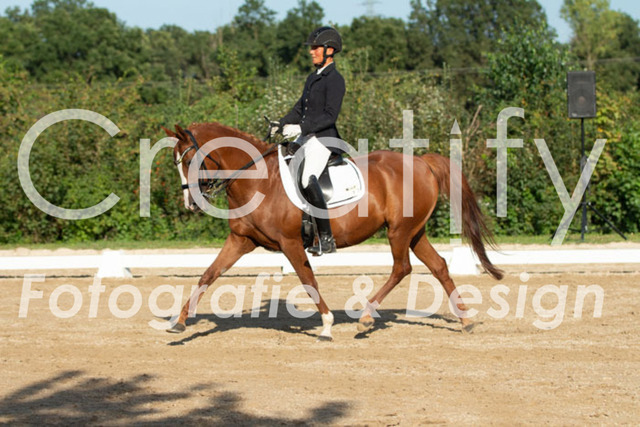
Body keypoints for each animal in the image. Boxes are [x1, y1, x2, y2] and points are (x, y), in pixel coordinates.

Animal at [162, 121, 503, 340]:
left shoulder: (290, 243)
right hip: (414, 232)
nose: (190, 203)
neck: (258, 181)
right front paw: (178, 323)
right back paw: (465, 320)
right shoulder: (241, 240)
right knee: (438, 266)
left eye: (189, 159)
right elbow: (208, 274)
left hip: (399, 232)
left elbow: (308, 280)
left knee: (402, 268)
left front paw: (326, 326)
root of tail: (422, 162)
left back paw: (365, 318)